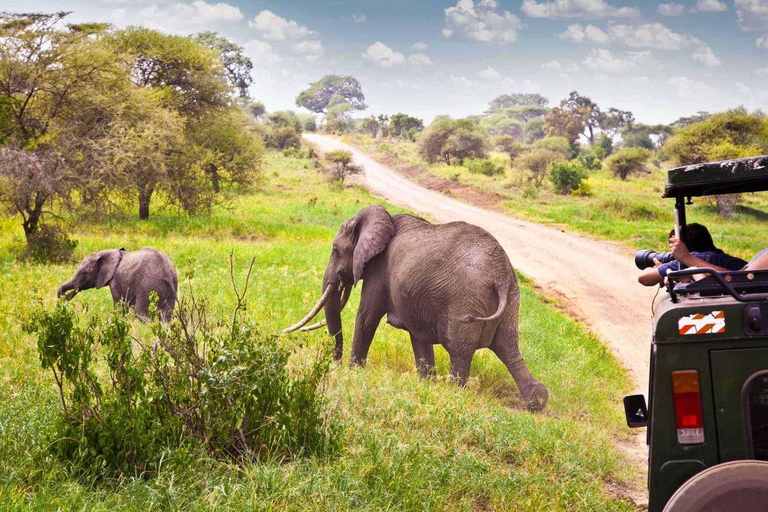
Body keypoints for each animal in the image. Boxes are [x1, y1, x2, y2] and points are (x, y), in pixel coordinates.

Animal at [284, 206, 548, 410]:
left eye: (336, 250)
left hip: (466, 300)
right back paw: (537, 401)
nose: (334, 363)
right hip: (512, 298)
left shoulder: (380, 270)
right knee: (508, 348)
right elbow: (418, 337)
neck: (384, 218)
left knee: (461, 350)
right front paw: (427, 384)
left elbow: (366, 318)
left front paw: (353, 372)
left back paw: (453, 393)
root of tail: (500, 274)